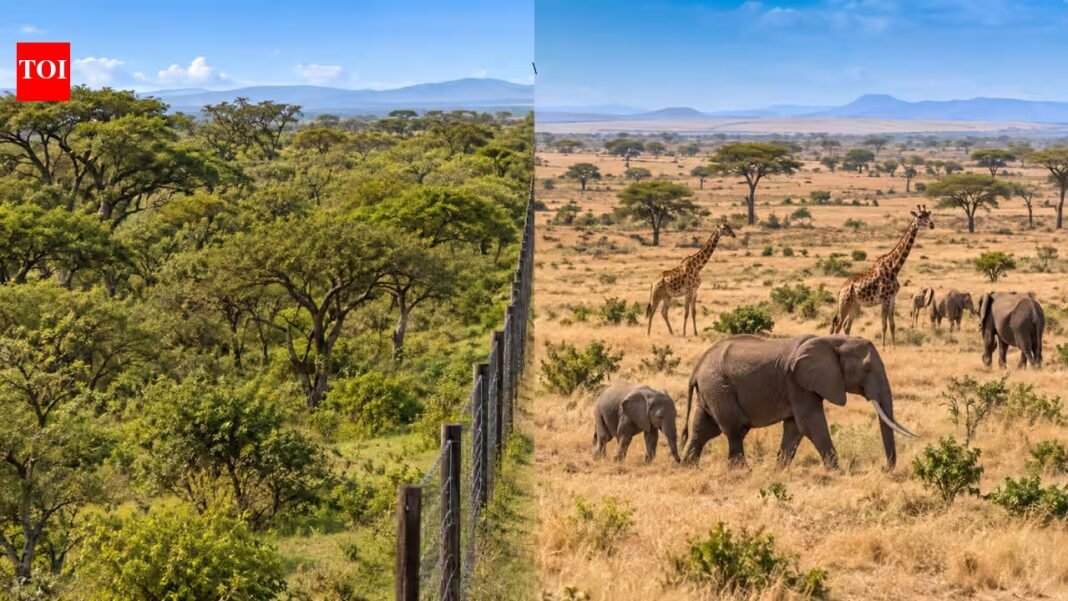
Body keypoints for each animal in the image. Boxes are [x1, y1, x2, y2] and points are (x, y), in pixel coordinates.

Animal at [681, 334, 916, 470]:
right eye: (866, 369)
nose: (884, 468)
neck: (834, 340)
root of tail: (696, 368)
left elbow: (794, 428)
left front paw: (779, 471)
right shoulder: (797, 382)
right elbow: (811, 424)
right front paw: (838, 472)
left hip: (712, 390)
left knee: (703, 429)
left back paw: (688, 467)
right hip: (719, 387)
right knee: (735, 429)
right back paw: (741, 471)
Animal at [830, 205, 934, 345]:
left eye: (928, 215)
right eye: (919, 216)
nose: (932, 224)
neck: (894, 268)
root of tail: (841, 289)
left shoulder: (892, 299)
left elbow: (892, 325)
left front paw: (894, 347)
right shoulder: (884, 299)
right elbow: (884, 325)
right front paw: (883, 346)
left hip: (855, 306)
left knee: (846, 326)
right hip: (844, 304)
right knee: (838, 325)